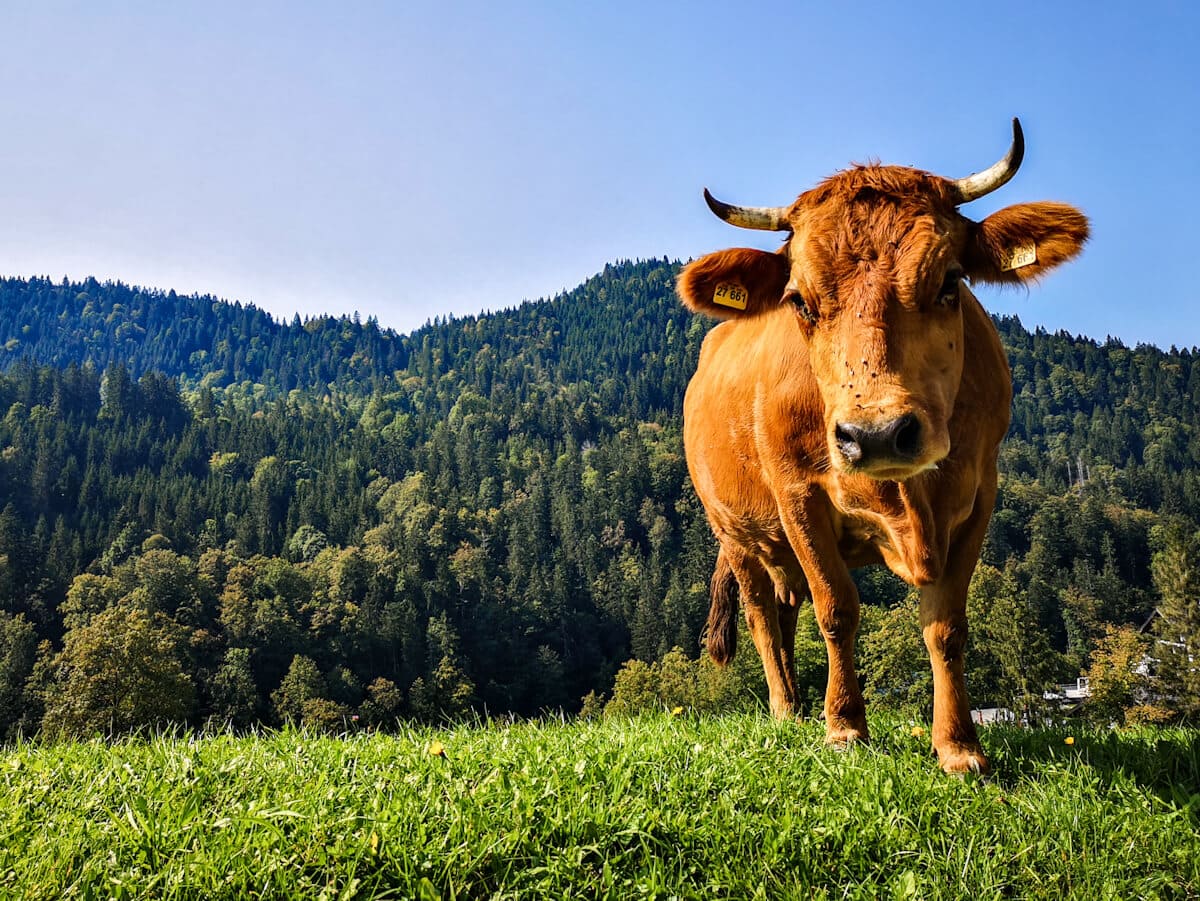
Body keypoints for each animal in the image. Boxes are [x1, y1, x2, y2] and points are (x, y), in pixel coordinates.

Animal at [686, 121, 1089, 777]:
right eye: (799, 301)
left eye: (950, 281)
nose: (875, 433)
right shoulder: (798, 495)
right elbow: (837, 609)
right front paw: (845, 727)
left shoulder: (978, 494)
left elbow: (945, 625)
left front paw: (958, 746)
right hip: (738, 534)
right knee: (764, 614)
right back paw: (786, 709)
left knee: (787, 604)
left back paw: (799, 706)